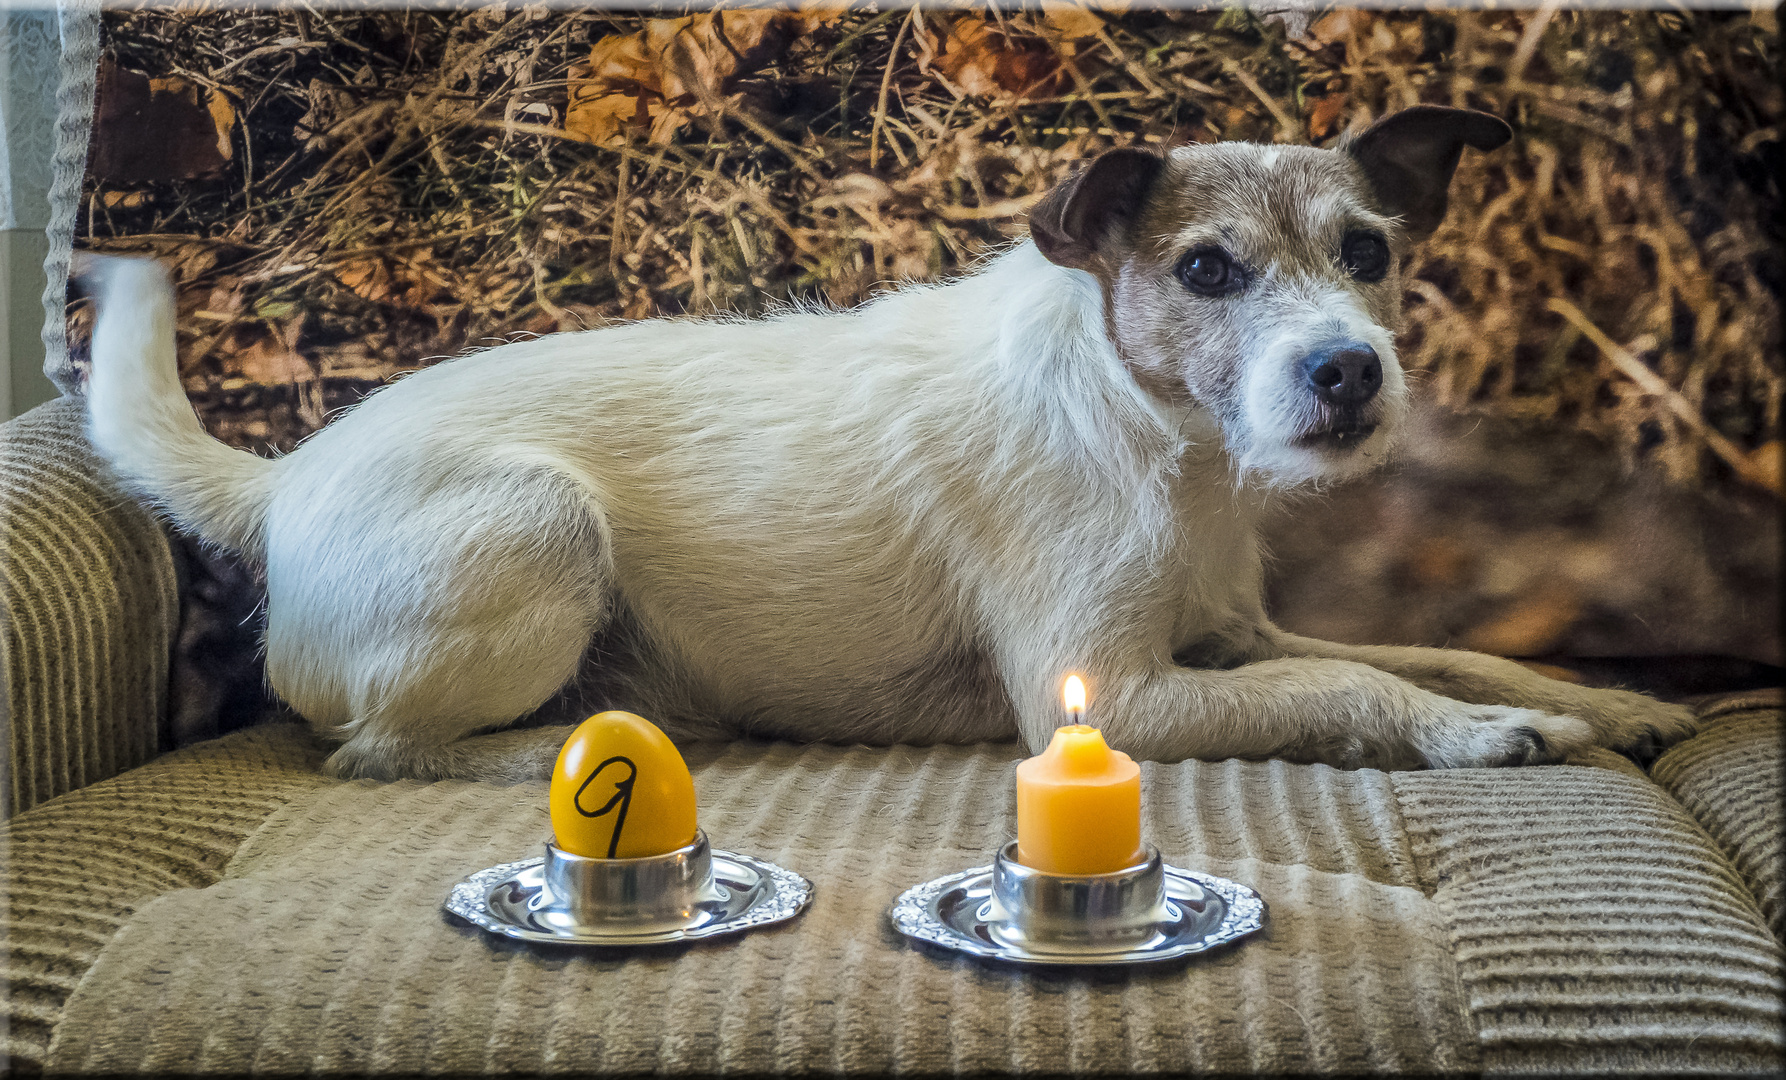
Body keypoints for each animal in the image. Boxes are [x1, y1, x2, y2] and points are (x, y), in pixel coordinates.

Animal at [83, 105, 1693, 778]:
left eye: (1368, 252)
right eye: (1205, 272)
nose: (1348, 372)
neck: (1153, 437)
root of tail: (283, 476)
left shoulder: (1230, 641)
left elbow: (1429, 650)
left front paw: (1593, 702)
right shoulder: (1113, 697)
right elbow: (1359, 683)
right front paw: (1477, 738)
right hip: (541, 531)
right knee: (374, 749)